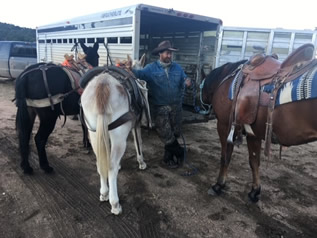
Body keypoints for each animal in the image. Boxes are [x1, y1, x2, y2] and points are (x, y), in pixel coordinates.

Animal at [81, 54, 146, 215]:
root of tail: (102, 85)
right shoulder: (135, 125)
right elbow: (139, 143)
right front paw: (141, 162)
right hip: (118, 137)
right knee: (111, 166)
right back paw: (115, 203)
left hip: (93, 133)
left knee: (101, 163)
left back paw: (104, 193)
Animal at [201, 54, 316, 203]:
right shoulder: (253, 134)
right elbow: (254, 161)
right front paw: (255, 191)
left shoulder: (224, 125)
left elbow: (225, 157)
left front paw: (219, 184)